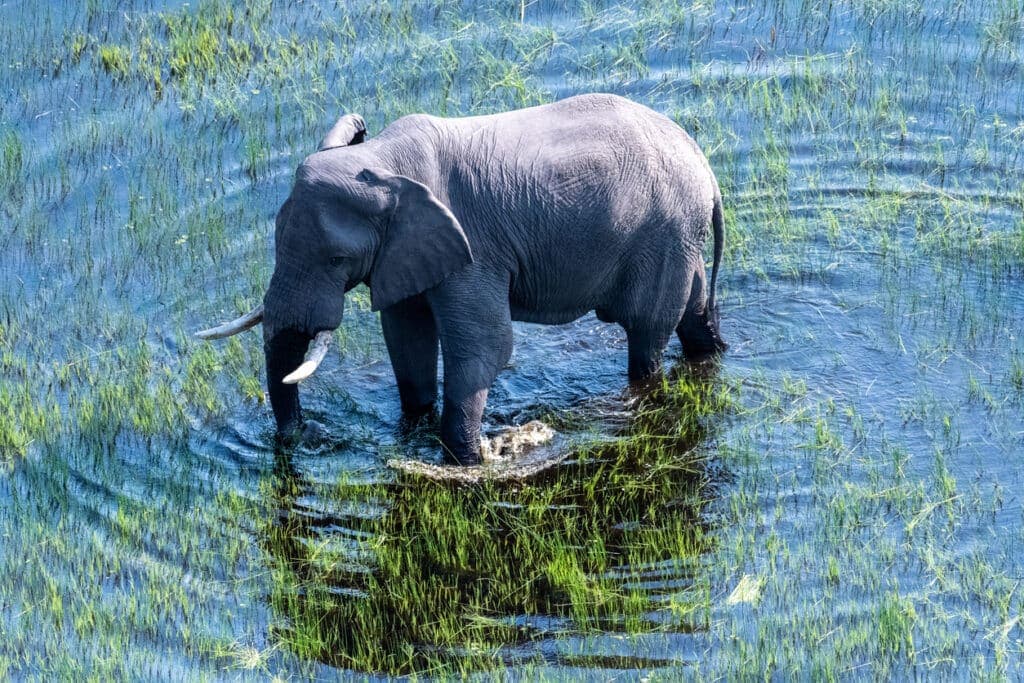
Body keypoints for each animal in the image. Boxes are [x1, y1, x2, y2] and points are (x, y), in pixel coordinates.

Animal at [197, 93, 729, 464]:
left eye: (335, 259)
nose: (311, 437)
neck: (386, 161)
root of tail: (705, 166)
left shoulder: (474, 251)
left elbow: (486, 346)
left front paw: (466, 460)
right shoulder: (402, 254)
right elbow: (405, 337)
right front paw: (416, 431)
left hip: (662, 234)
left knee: (645, 335)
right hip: (677, 238)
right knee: (692, 311)